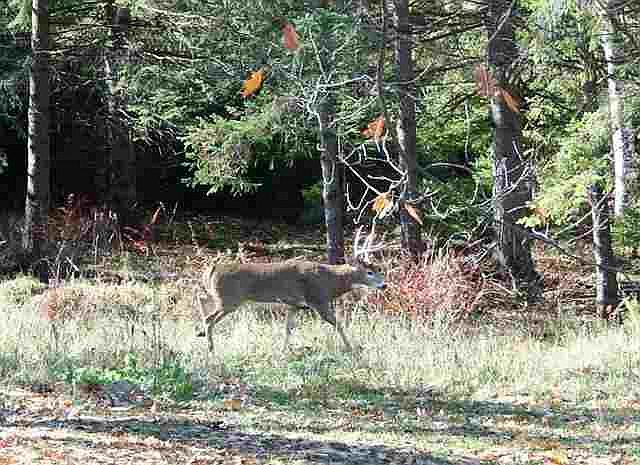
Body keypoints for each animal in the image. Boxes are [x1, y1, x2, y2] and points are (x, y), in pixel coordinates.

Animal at [196, 227, 386, 353]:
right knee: (208, 318)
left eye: (377, 269)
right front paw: (352, 348)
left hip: (219, 296)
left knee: (202, 298)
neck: (330, 282)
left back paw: (200, 334)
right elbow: (338, 324)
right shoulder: (317, 299)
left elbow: (288, 328)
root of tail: (212, 268)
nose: (384, 285)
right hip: (230, 299)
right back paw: (211, 348)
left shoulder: (295, 305)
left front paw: (284, 350)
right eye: (369, 272)